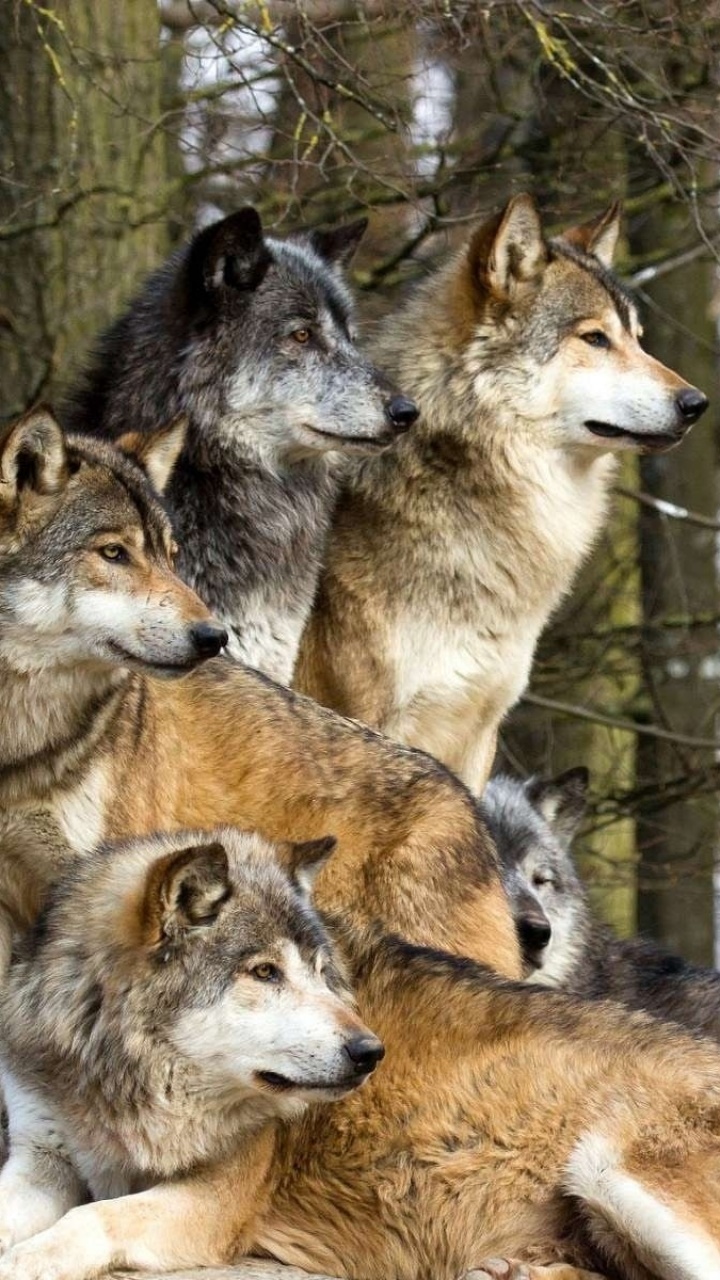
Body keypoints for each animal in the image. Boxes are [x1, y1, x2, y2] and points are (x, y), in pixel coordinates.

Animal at [0, 826, 382, 1250]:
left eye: (319, 971)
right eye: (265, 971)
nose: (370, 1051)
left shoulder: (215, 1194)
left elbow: (94, 1216)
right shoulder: (41, 1156)